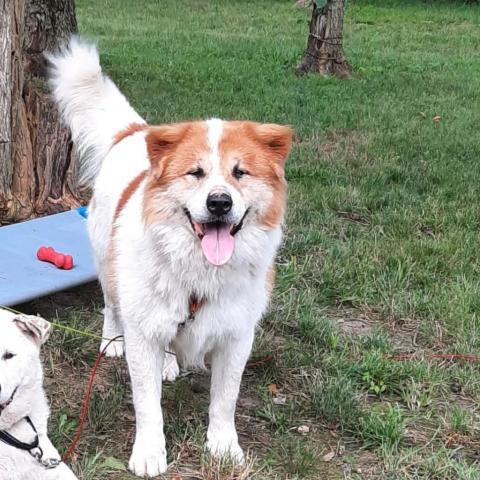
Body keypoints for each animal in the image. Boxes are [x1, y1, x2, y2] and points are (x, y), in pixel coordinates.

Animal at [47, 37, 292, 476]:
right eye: (195, 173)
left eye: (240, 173)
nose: (219, 203)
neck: (199, 271)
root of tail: (137, 131)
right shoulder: (143, 331)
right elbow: (149, 405)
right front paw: (149, 453)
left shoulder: (236, 335)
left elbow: (225, 400)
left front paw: (224, 447)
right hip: (108, 266)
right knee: (110, 305)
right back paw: (112, 341)